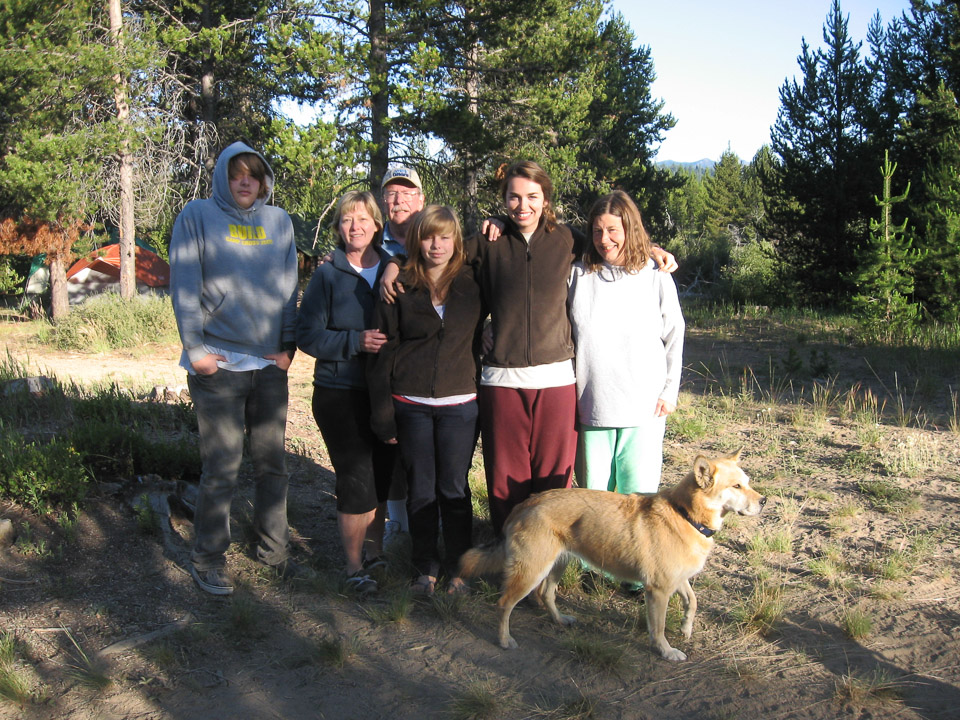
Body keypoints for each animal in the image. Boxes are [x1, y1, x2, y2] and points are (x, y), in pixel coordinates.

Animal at [458, 452, 764, 660]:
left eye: (748, 483)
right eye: (736, 487)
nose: (764, 501)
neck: (685, 514)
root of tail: (526, 503)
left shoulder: (676, 580)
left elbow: (693, 601)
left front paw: (687, 628)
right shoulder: (659, 590)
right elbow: (659, 628)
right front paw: (666, 651)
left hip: (557, 565)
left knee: (546, 595)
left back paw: (559, 620)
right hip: (532, 570)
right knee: (504, 604)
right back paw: (504, 640)